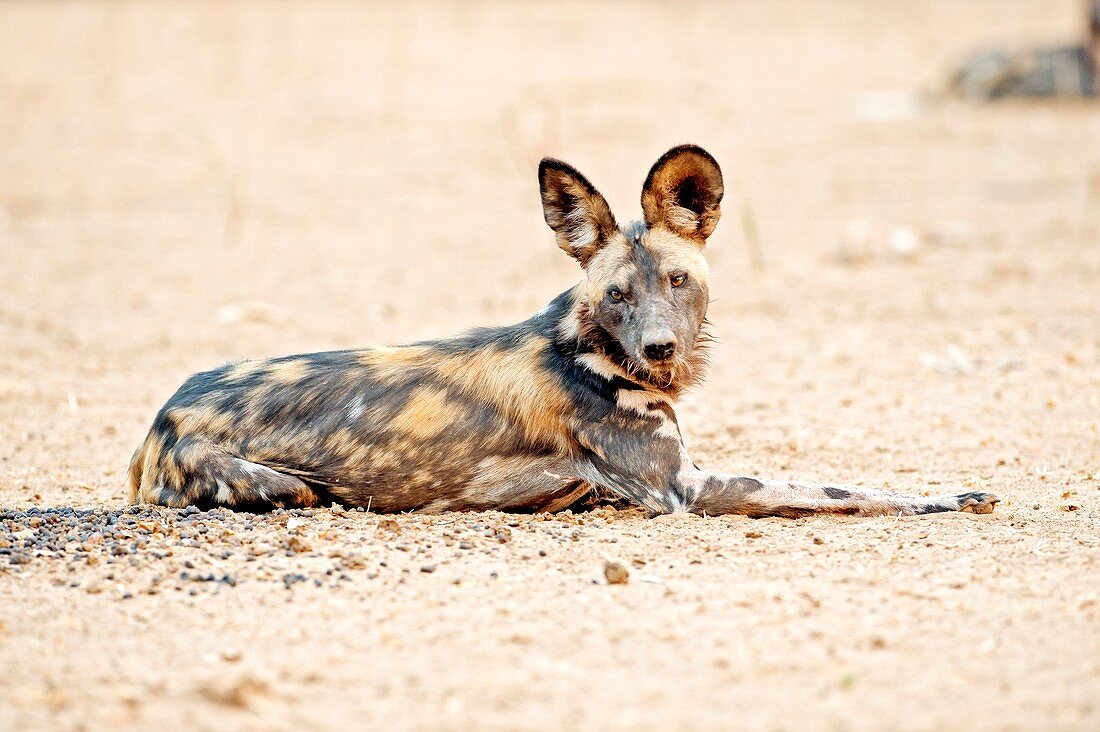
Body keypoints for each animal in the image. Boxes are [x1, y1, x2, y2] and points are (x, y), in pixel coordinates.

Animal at [128, 144, 998, 512]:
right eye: (616, 294)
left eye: (676, 281)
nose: (659, 349)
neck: (591, 349)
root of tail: (162, 415)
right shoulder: (686, 489)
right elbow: (843, 488)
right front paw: (948, 497)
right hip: (287, 486)